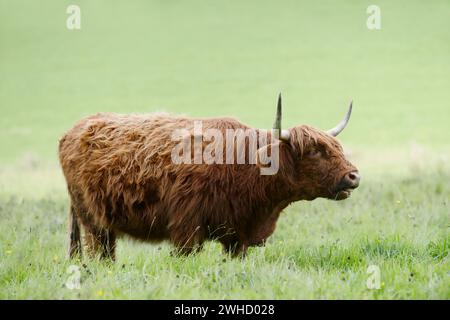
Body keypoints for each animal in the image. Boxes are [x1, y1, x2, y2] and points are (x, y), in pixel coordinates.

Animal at [59, 95, 358, 260]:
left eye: (337, 147)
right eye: (315, 151)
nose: (354, 175)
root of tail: (73, 129)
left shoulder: (238, 237)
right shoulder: (186, 232)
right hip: (93, 224)